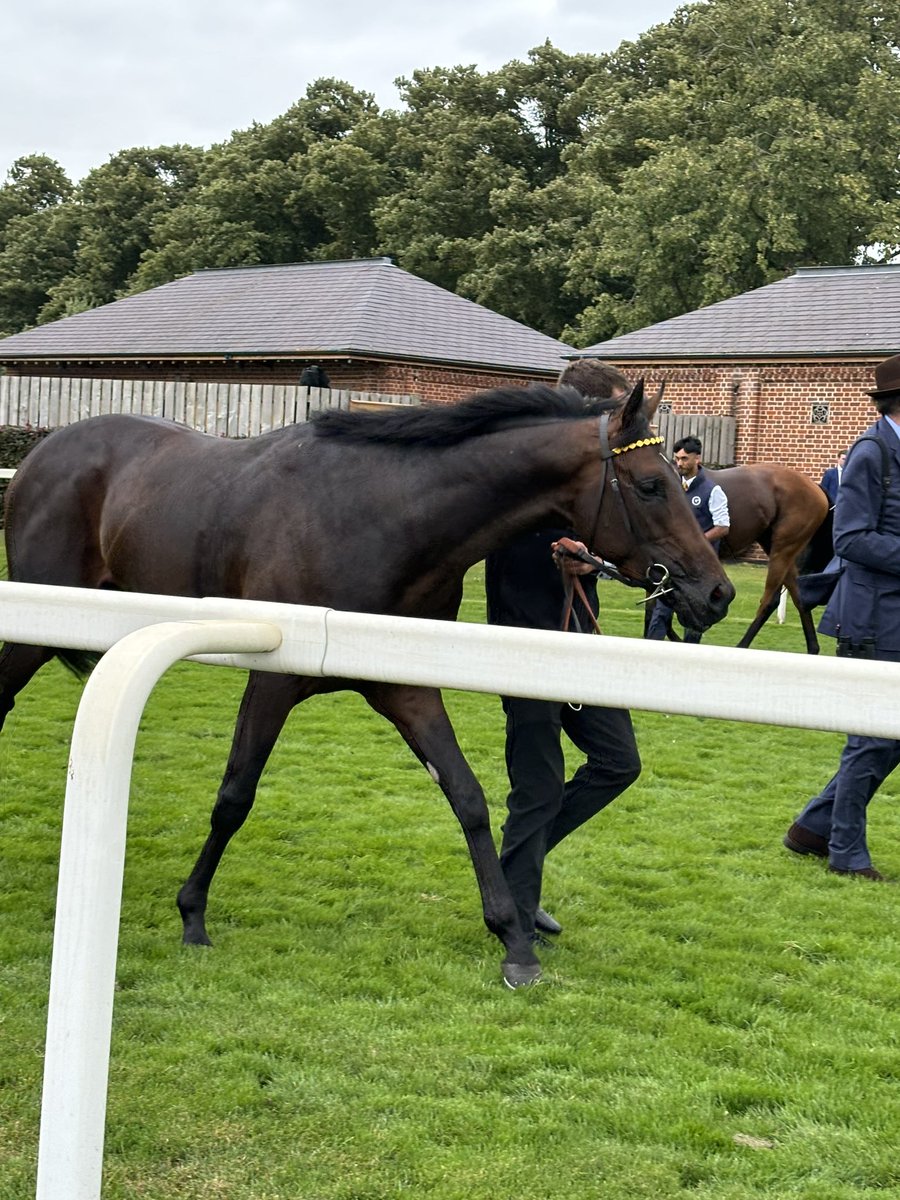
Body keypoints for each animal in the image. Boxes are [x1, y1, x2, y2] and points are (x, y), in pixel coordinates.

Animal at [0, 381, 733, 988]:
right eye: (649, 484)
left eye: (676, 480)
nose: (716, 592)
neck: (378, 513)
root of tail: (39, 457)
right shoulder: (273, 678)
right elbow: (235, 797)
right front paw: (192, 914)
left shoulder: (404, 685)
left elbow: (468, 797)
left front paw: (514, 940)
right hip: (32, 632)